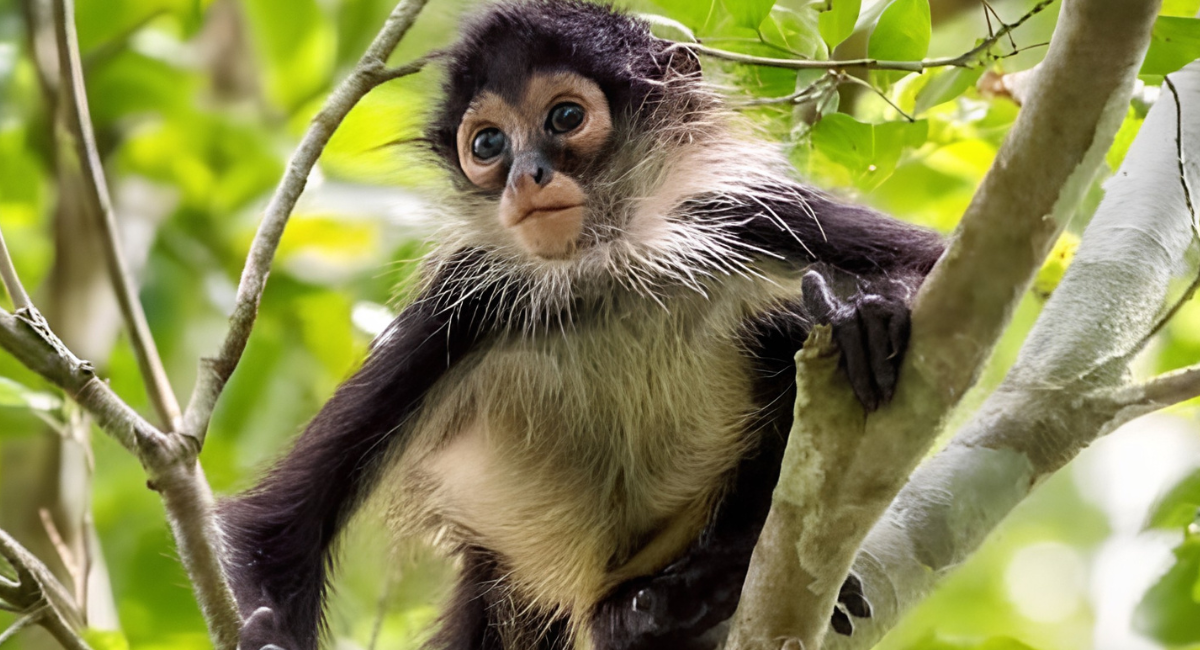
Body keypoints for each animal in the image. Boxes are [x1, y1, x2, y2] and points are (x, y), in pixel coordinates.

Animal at [219, 2, 946, 649]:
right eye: (488, 144)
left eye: (565, 117)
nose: (526, 175)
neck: (603, 275)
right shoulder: (466, 304)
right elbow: (278, 526)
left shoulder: (738, 212)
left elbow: (936, 266)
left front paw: (868, 317)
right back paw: (657, 612)